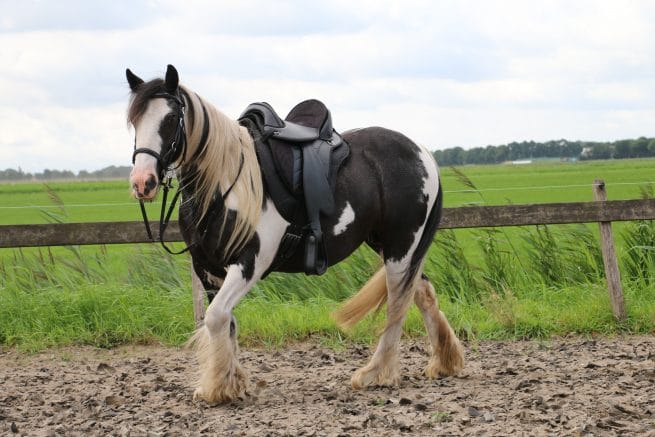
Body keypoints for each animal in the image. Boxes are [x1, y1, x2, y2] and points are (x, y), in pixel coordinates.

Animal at [127, 63, 466, 402]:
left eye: (172, 118)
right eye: (134, 121)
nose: (143, 182)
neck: (224, 183)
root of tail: (422, 152)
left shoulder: (250, 263)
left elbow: (216, 317)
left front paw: (218, 388)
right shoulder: (208, 268)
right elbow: (225, 321)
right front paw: (231, 383)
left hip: (401, 245)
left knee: (398, 302)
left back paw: (376, 374)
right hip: (390, 245)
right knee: (421, 291)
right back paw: (444, 362)